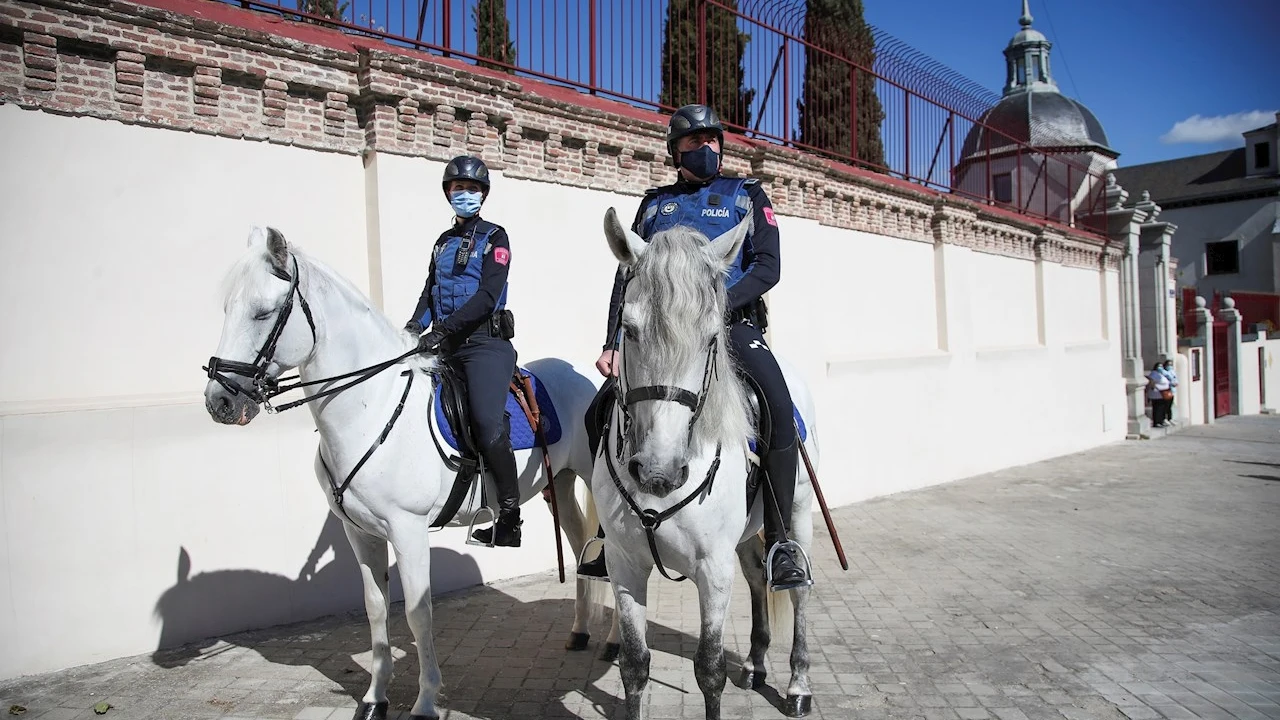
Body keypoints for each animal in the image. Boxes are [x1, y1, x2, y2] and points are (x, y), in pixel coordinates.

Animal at [207, 228, 606, 717]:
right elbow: (376, 609)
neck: (372, 404)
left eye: (262, 312)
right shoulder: (360, 533)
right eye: (227, 309)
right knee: (583, 548)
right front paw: (374, 698)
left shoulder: (408, 530)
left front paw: (425, 700)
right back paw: (581, 632)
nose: (219, 401)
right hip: (562, 485)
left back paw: (613, 643)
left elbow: (418, 613)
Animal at [591, 208, 819, 717]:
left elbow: (709, 670)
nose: (657, 471)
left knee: (797, 591)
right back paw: (755, 664)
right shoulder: (624, 565)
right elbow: (634, 665)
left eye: (713, 335)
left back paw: (797, 684)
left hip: (797, 514)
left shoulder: (713, 569)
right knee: (755, 576)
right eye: (629, 330)